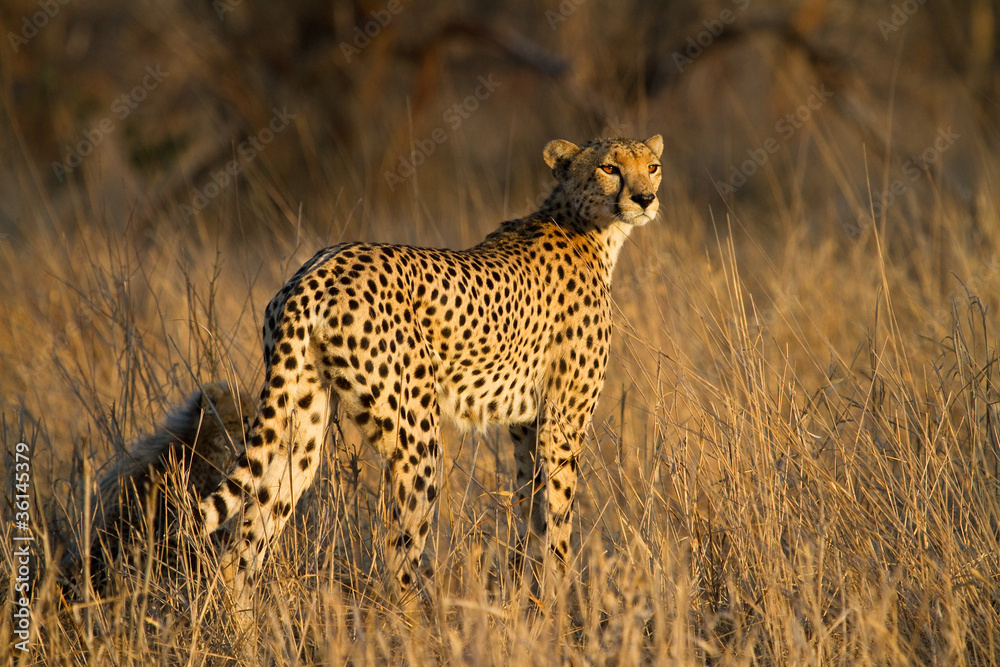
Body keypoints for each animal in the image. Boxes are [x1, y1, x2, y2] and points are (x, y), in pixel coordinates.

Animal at [198, 135, 664, 604]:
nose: (645, 199)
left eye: (653, 167)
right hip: (416, 438)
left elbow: (533, 511)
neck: (589, 227)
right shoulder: (562, 421)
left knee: (245, 543)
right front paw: (560, 601)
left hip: (300, 424)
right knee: (396, 556)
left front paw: (530, 597)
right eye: (609, 168)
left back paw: (242, 622)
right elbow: (559, 516)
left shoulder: (526, 425)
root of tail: (318, 270)